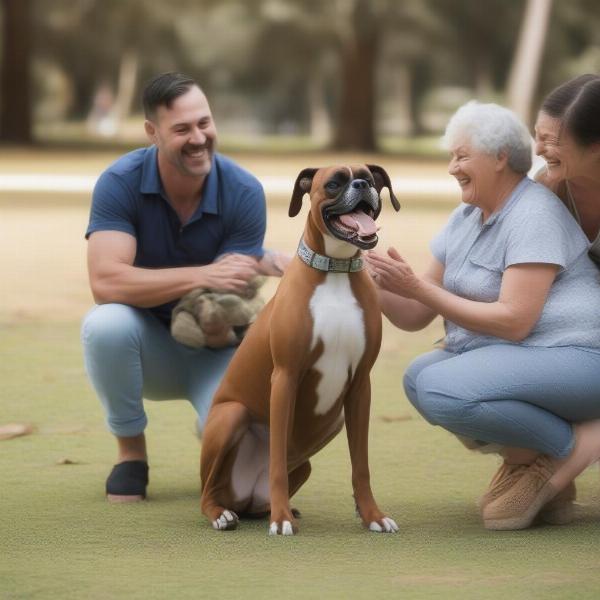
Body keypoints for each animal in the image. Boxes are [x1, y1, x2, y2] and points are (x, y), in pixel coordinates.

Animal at [199, 164, 400, 536]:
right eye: (334, 183)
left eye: (370, 178)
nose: (361, 184)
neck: (335, 271)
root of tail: (241, 495)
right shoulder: (286, 378)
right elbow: (277, 459)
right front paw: (281, 520)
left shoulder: (360, 385)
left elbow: (361, 464)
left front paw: (372, 515)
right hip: (231, 415)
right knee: (208, 491)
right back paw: (224, 513)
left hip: (317, 445)